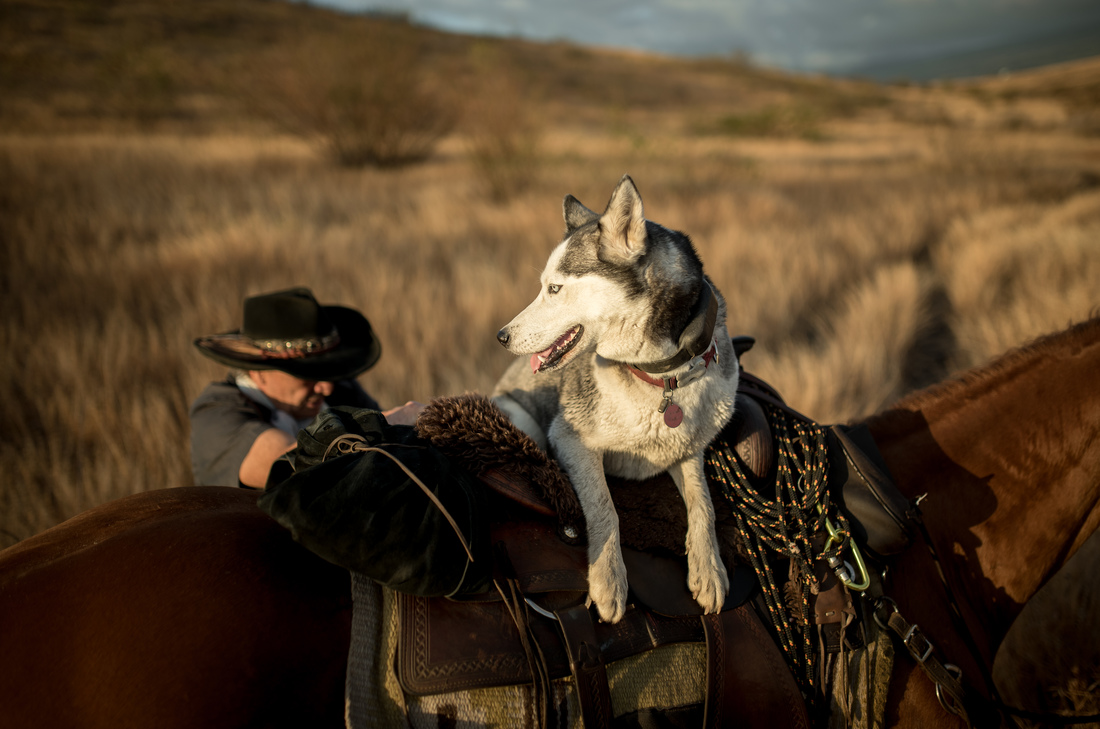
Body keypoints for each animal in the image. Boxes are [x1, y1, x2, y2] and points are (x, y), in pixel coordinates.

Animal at [492, 173, 739, 624]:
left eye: (555, 288)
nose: (501, 336)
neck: (660, 377)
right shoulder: (570, 439)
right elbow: (605, 505)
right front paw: (608, 579)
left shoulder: (687, 451)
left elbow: (704, 506)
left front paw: (709, 570)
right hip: (522, 418)